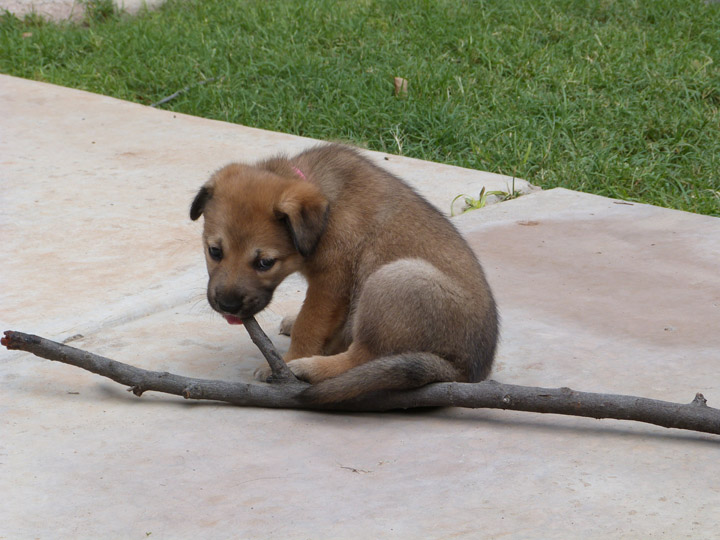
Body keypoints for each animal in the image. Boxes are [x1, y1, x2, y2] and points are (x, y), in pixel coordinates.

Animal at [188, 146, 498, 402]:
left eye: (265, 263)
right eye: (214, 251)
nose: (227, 306)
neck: (328, 209)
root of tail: (466, 372)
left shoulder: (331, 282)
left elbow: (309, 324)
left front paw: (291, 358)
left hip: (394, 279)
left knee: (362, 358)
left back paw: (306, 368)